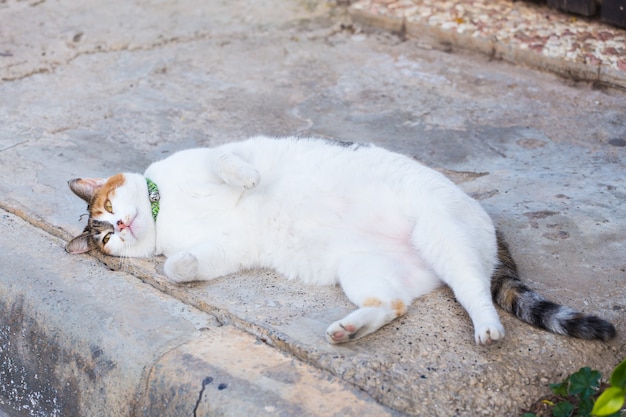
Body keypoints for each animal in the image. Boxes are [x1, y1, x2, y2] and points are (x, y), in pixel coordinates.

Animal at [67, 135, 616, 342]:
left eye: (108, 210)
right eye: (104, 239)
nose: (119, 227)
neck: (167, 211)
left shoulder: (214, 154)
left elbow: (228, 162)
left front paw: (247, 180)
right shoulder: (226, 250)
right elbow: (181, 263)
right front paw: (176, 266)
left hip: (444, 236)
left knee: (476, 292)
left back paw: (487, 329)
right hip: (364, 268)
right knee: (394, 304)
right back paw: (349, 330)